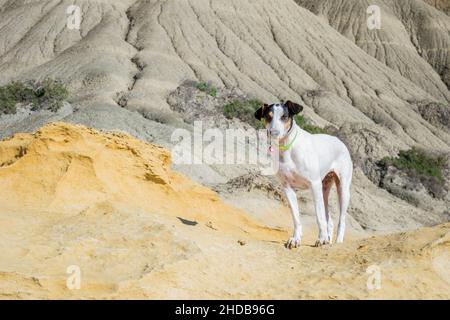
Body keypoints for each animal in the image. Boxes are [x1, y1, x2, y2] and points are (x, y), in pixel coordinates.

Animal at [255, 101, 354, 249]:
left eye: (284, 117)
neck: (288, 148)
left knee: (341, 220)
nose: (273, 133)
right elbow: (296, 217)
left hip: (342, 189)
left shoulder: (314, 185)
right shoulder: (288, 188)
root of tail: (339, 141)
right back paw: (329, 240)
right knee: (329, 220)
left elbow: (319, 216)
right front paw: (295, 239)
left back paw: (337, 241)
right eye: (268, 116)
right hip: (324, 189)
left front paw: (321, 238)